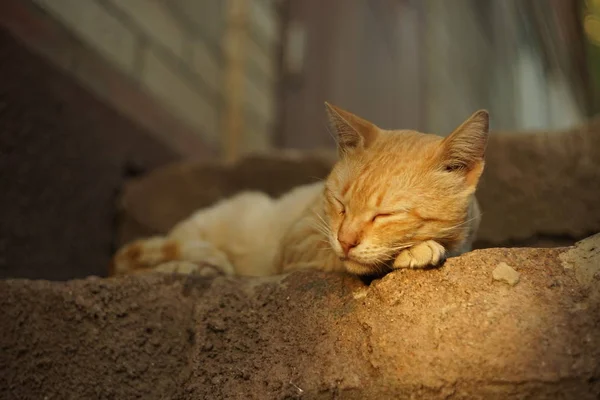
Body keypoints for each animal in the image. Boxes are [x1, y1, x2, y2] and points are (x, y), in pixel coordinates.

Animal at [111, 103, 488, 278]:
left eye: (385, 215)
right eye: (339, 203)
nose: (346, 240)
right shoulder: (299, 241)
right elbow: (337, 257)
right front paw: (417, 249)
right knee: (133, 259)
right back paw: (193, 266)